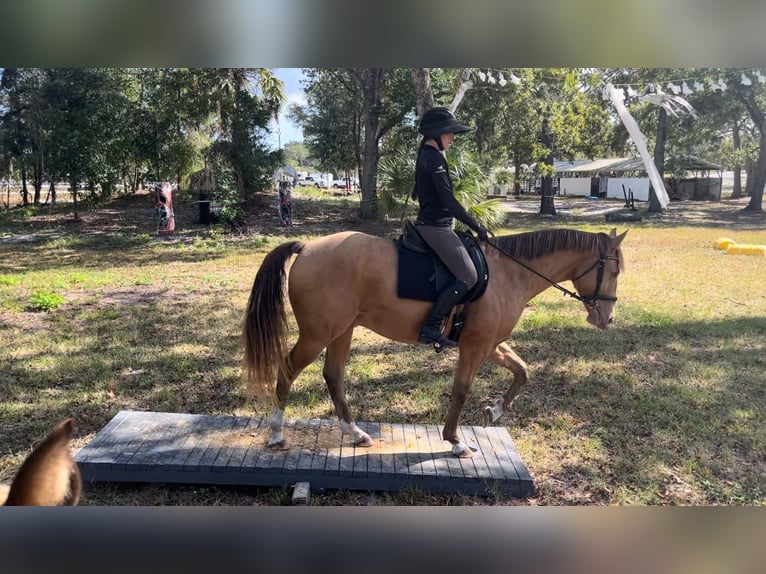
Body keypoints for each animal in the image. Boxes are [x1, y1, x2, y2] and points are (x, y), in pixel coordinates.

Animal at [243, 228, 628, 460]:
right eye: (613, 271)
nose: (606, 319)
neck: (510, 273)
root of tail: (307, 247)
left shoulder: (490, 344)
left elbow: (522, 371)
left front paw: (495, 411)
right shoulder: (475, 346)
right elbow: (461, 390)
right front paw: (456, 442)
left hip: (342, 330)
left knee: (333, 376)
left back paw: (356, 433)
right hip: (318, 333)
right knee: (287, 369)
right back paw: (276, 433)